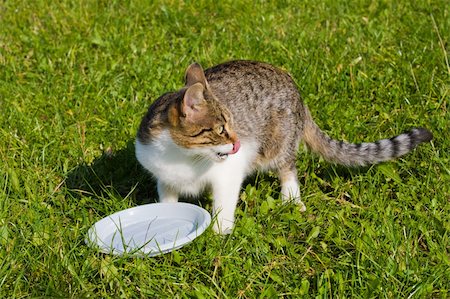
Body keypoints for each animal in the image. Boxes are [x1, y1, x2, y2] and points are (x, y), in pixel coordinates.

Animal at [135, 60, 434, 234]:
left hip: (279, 142)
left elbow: (223, 204)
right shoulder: (163, 176)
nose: (238, 143)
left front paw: (221, 234)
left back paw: (291, 199)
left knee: (287, 167)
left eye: (233, 123)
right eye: (220, 130)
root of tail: (296, 91)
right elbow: (168, 201)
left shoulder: (228, 173)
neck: (183, 157)